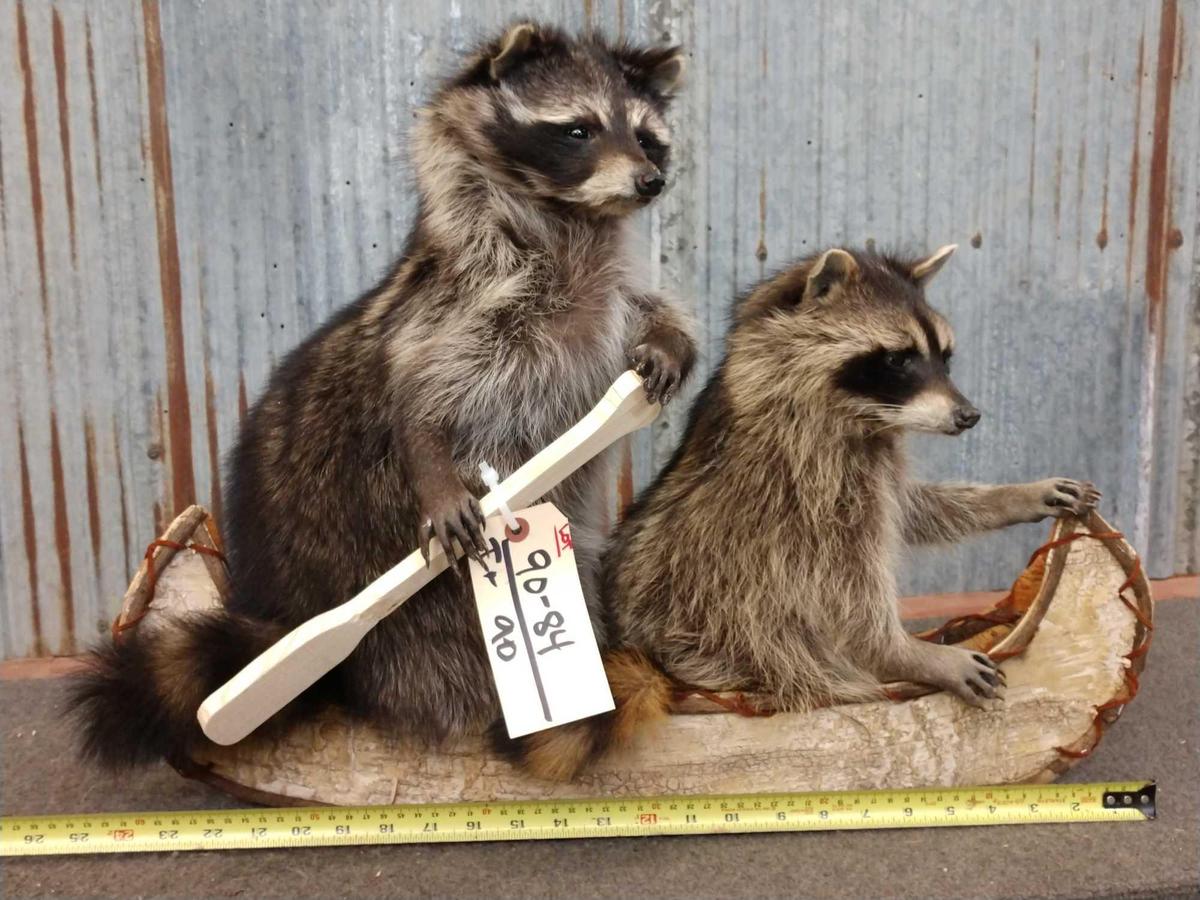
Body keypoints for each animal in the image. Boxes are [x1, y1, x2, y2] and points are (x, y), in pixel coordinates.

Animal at [68, 21, 696, 768]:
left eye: (648, 138)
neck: (566, 220)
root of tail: (289, 605)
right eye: (579, 130)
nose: (652, 180)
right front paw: (435, 471)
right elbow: (420, 392)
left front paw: (667, 338)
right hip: (390, 604)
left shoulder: (600, 301)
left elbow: (641, 314)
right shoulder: (458, 298)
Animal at [506, 243, 1099, 777]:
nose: (969, 415)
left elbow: (910, 509)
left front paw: (1015, 496)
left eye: (944, 357)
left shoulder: (867, 463)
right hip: (718, 634)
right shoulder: (805, 475)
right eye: (899, 359)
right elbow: (846, 582)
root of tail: (654, 660)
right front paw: (902, 653)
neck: (860, 417)